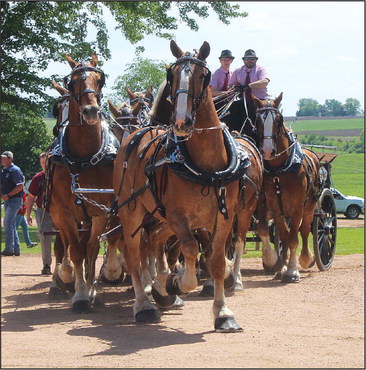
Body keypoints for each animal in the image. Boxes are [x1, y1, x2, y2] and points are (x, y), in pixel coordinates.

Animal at [47, 52, 120, 312]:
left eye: (100, 80)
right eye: (73, 82)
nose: (90, 111)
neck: (84, 158)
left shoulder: (100, 212)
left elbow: (91, 249)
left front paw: (90, 289)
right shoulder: (64, 213)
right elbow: (76, 250)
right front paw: (78, 294)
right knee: (65, 244)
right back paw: (65, 275)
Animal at [113, 41, 262, 332]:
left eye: (202, 76)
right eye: (172, 76)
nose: (181, 122)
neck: (206, 167)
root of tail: (135, 135)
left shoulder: (223, 219)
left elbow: (216, 261)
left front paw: (222, 312)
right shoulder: (179, 217)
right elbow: (191, 250)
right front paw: (175, 283)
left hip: (160, 217)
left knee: (156, 241)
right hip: (132, 212)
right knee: (134, 253)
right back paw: (144, 304)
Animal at [252, 94, 320, 282]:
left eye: (278, 120)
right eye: (258, 120)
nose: (267, 151)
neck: (280, 170)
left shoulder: (297, 208)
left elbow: (293, 239)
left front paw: (292, 271)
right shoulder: (275, 208)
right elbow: (282, 236)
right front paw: (278, 266)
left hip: (309, 206)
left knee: (304, 231)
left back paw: (305, 258)